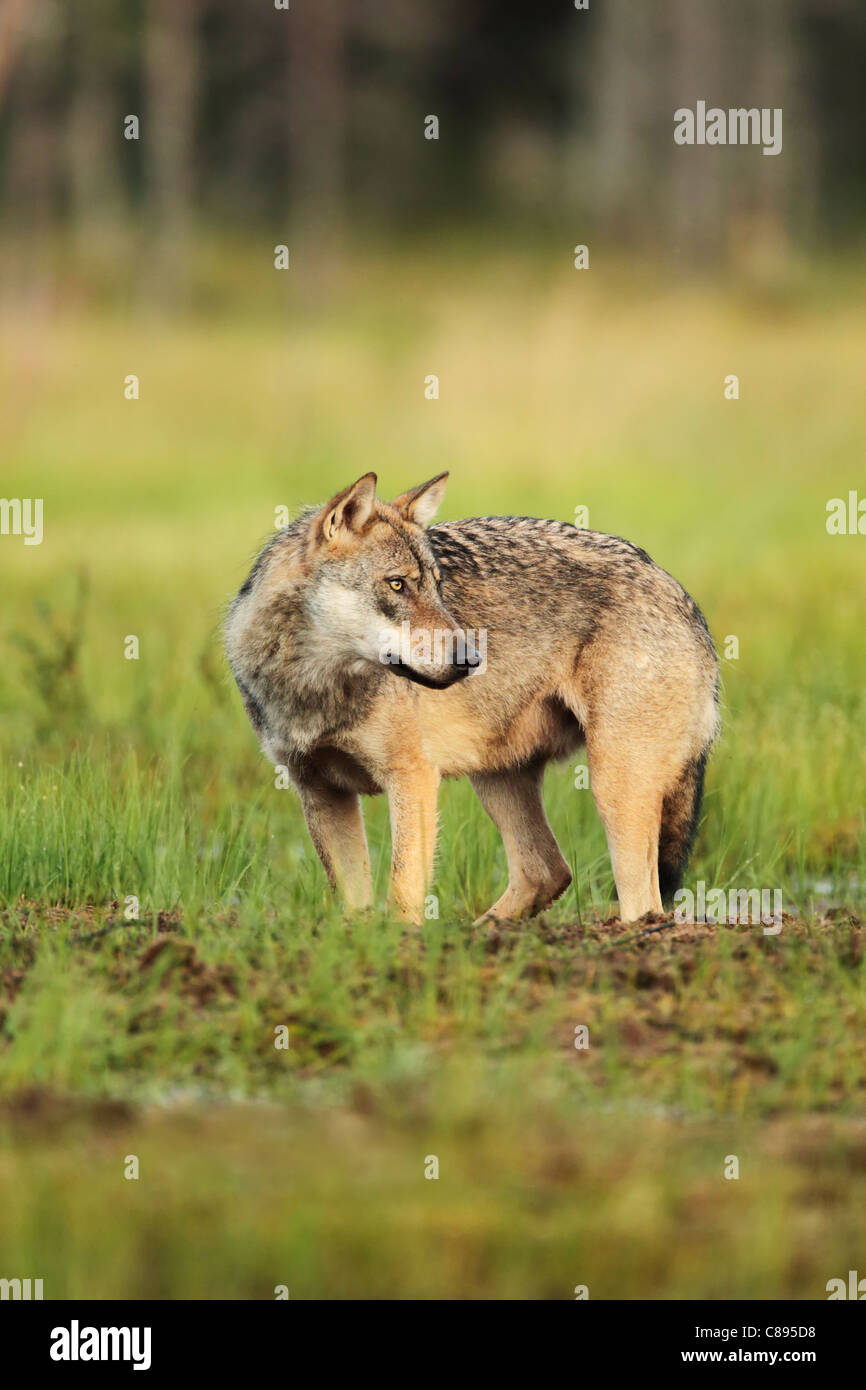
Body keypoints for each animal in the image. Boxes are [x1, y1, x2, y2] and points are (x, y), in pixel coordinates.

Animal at [223, 472, 717, 928]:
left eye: (437, 587)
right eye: (398, 585)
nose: (471, 659)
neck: (315, 683)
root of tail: (681, 595)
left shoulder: (413, 779)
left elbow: (401, 891)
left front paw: (400, 945)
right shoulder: (319, 790)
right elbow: (354, 904)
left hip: (613, 787)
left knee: (644, 905)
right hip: (498, 779)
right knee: (548, 871)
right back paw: (480, 934)